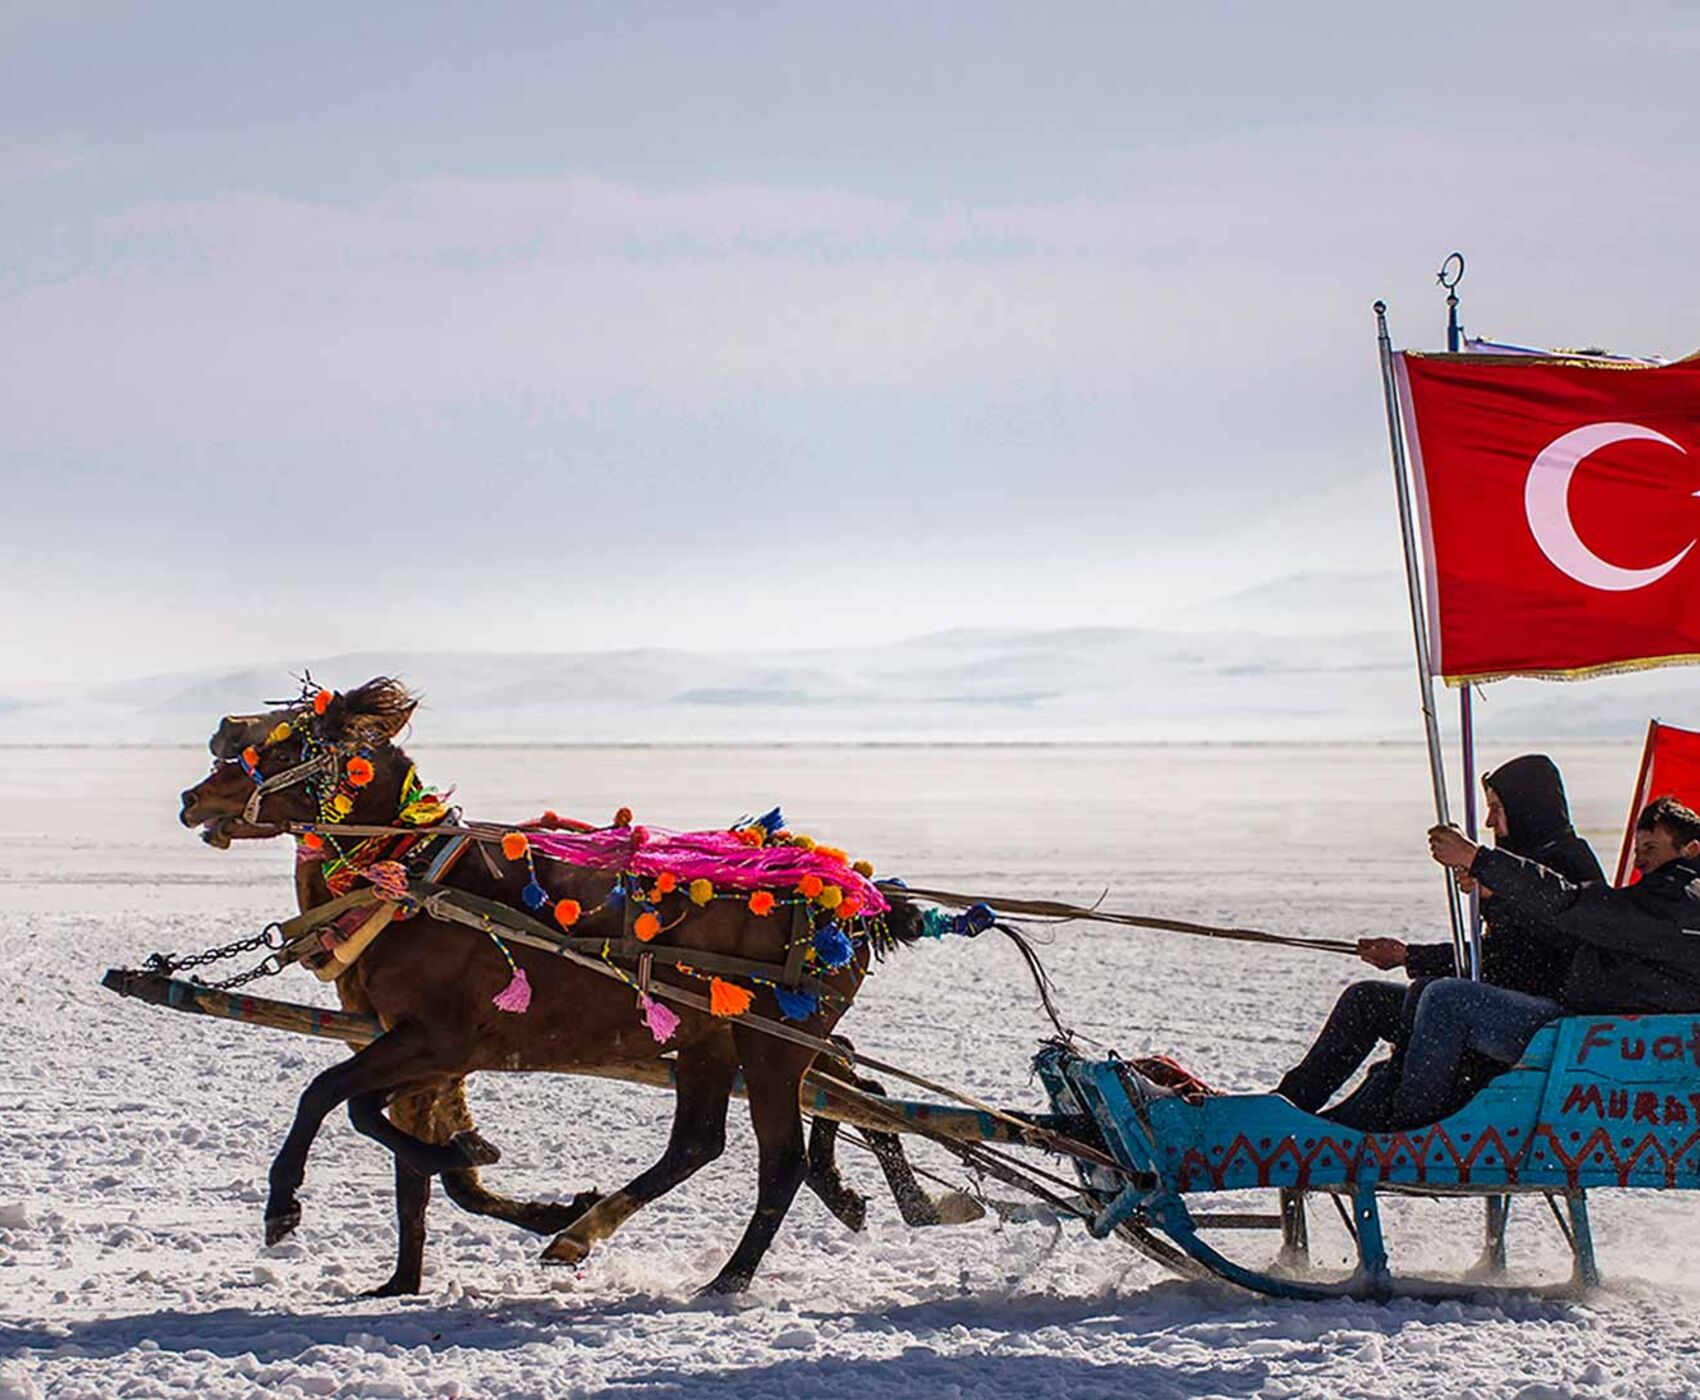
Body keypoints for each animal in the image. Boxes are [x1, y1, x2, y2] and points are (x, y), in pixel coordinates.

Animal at [182, 676, 945, 1291]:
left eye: (285, 740)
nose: (194, 791)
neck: (411, 881)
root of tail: (856, 900)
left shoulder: (438, 1040)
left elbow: (331, 1098)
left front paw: (284, 1206)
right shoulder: (422, 1050)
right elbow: (405, 1156)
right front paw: (403, 1278)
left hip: (774, 1045)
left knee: (781, 1158)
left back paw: (727, 1279)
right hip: (715, 1037)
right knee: (718, 1135)